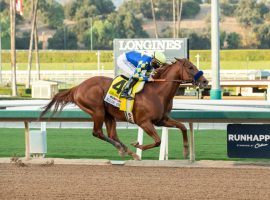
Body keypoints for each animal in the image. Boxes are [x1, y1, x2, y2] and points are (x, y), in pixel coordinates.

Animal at [40, 57, 209, 159]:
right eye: (190, 67)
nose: (205, 81)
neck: (158, 92)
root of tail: (77, 87)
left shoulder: (162, 119)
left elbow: (182, 127)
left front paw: (186, 151)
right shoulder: (144, 122)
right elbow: (158, 141)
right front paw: (137, 145)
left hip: (109, 114)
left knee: (111, 134)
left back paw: (127, 151)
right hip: (97, 111)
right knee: (97, 132)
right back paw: (125, 150)